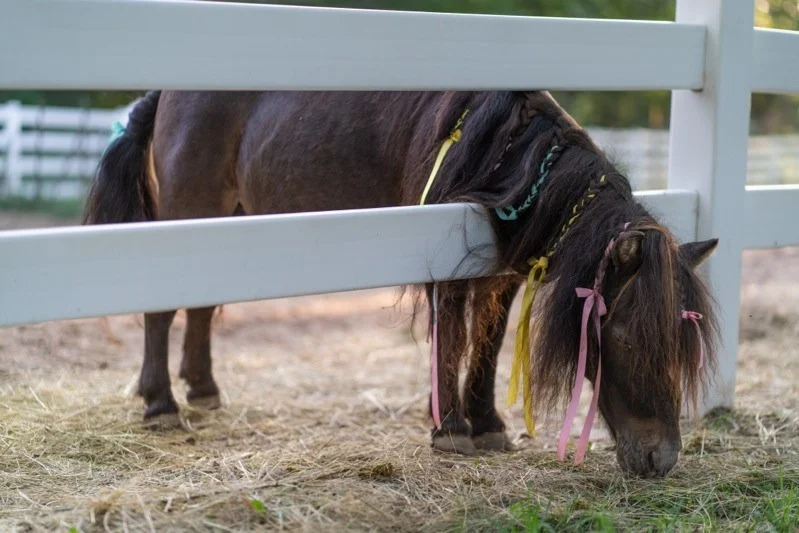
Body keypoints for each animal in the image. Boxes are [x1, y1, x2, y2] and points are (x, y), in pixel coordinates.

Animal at [83, 90, 718, 478]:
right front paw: (451, 429)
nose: (662, 459)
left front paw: (488, 423)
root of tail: (165, 95)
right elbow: (453, 340)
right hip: (190, 209)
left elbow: (485, 348)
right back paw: (161, 403)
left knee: (200, 302)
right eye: (628, 338)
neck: (509, 156)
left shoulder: (500, 276)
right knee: (163, 308)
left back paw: (203, 387)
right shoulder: (446, 264)